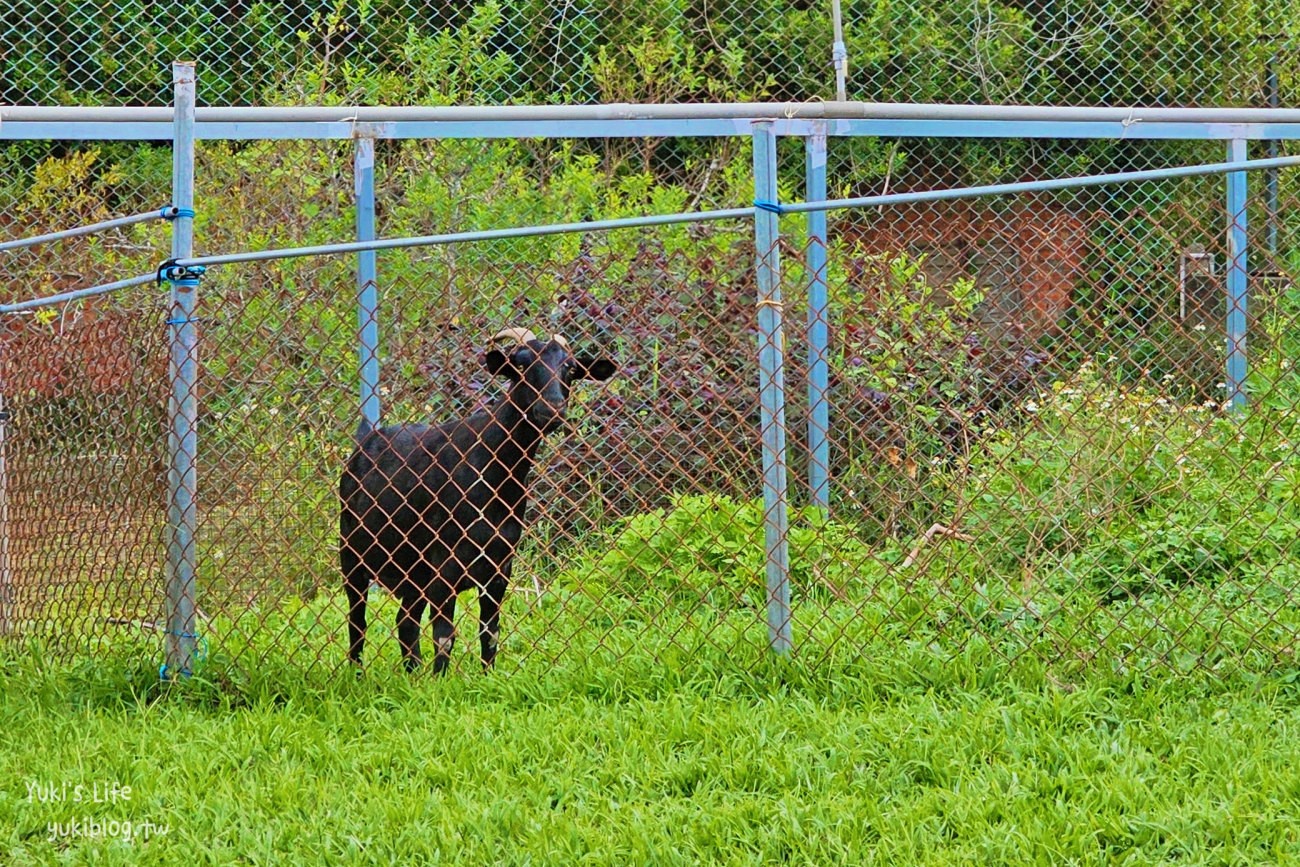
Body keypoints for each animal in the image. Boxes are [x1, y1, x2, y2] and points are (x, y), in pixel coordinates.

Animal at [340, 328, 613, 675]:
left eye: (571, 368)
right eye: (520, 365)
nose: (551, 409)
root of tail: (366, 439)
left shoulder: (499, 568)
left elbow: (490, 632)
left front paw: (487, 676)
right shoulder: (444, 567)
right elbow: (444, 635)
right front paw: (440, 681)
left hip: (413, 571)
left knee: (406, 620)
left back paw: (412, 673)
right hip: (352, 555)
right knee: (358, 620)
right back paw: (357, 673)